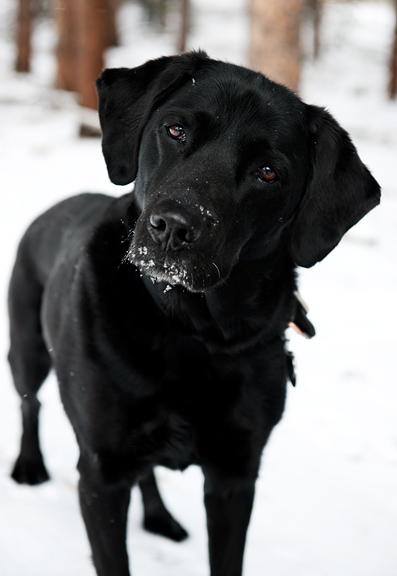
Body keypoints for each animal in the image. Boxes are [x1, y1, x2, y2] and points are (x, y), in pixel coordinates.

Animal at [9, 51, 378, 572]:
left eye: (268, 171)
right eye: (176, 130)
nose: (173, 227)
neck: (193, 330)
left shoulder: (235, 477)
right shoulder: (102, 472)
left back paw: (159, 517)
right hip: (27, 346)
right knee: (30, 401)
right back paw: (29, 465)